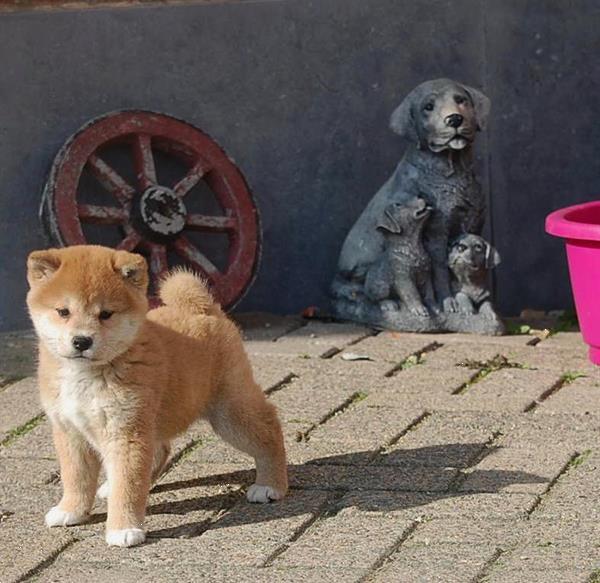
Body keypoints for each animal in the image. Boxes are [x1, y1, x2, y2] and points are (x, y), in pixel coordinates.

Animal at [27, 245, 288, 548]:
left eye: (106, 314)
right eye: (63, 311)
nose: (81, 341)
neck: (87, 374)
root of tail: (203, 308)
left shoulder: (127, 430)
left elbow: (129, 486)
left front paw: (123, 528)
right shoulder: (71, 431)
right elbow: (76, 477)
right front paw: (71, 510)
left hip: (228, 413)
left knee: (269, 429)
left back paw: (270, 485)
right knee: (160, 450)